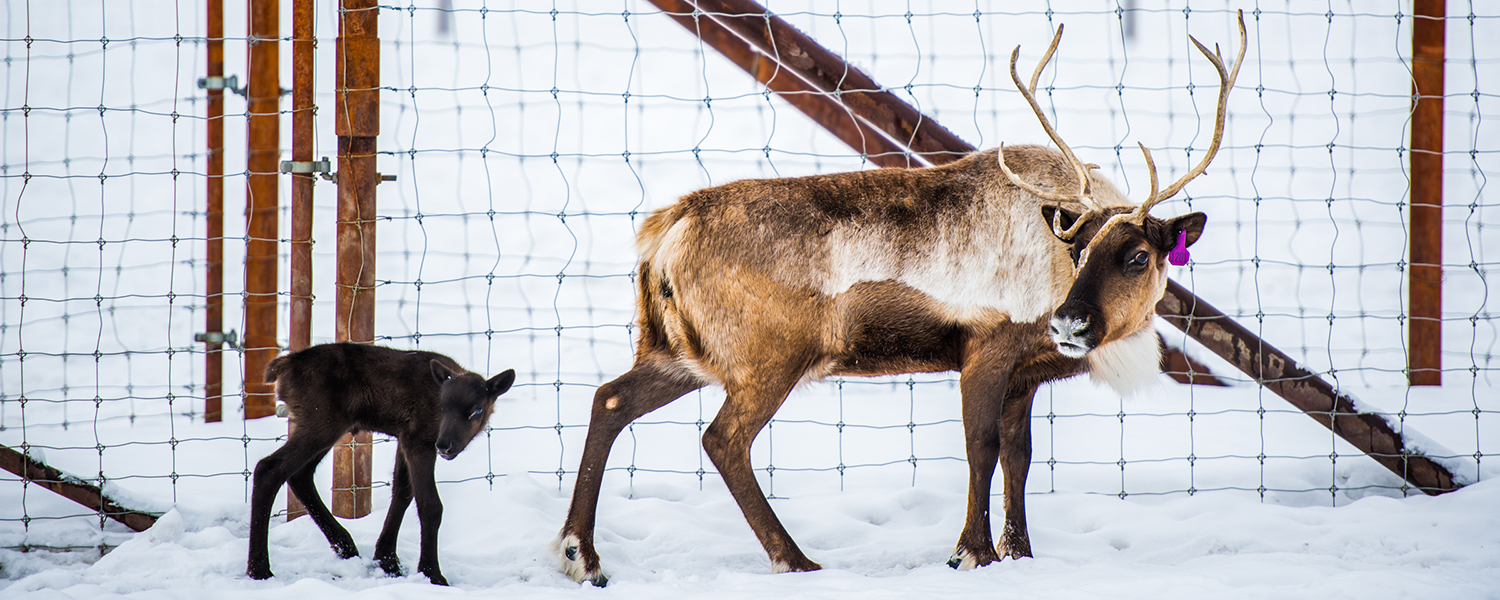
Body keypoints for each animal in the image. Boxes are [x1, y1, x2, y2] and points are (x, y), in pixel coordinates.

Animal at [249, 342, 519, 585]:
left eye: (476, 409)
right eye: (443, 406)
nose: (445, 445)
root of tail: (282, 366)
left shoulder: (404, 438)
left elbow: (402, 493)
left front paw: (387, 560)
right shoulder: (419, 440)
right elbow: (430, 504)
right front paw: (432, 573)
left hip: (326, 425)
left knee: (299, 474)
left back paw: (345, 545)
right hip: (321, 422)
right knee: (269, 468)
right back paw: (259, 569)